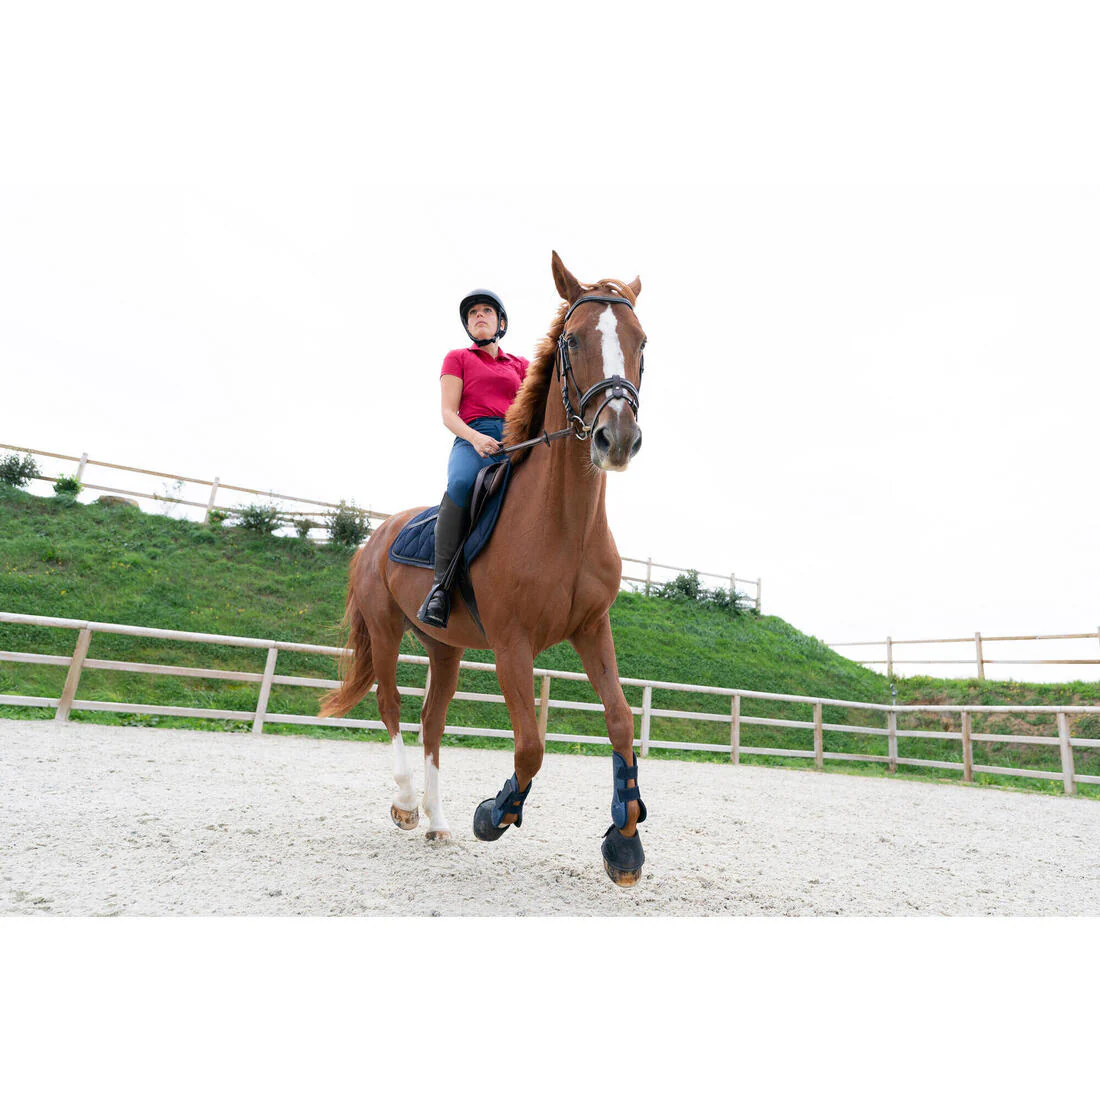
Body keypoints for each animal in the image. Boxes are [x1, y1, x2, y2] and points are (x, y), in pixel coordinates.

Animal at [320, 251, 649, 885]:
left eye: (641, 341)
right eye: (573, 339)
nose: (616, 439)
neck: (563, 523)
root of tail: (378, 533)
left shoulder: (592, 628)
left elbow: (621, 721)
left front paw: (625, 843)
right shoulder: (511, 643)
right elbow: (530, 745)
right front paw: (494, 814)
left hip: (444, 648)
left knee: (431, 720)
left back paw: (437, 821)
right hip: (386, 629)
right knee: (391, 705)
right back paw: (406, 805)